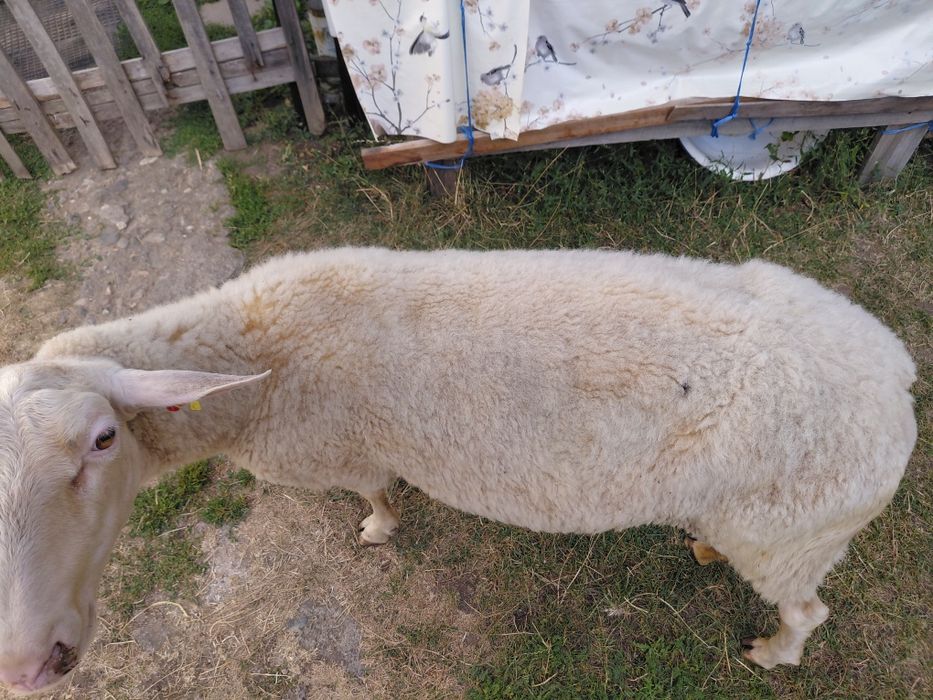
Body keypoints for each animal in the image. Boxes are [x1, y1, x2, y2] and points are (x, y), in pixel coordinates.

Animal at [0, 247, 917, 693]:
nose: (29, 665)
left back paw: (771, 652)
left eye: (102, 440)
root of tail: (898, 380)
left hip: (790, 535)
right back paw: (702, 548)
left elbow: (373, 492)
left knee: (808, 610)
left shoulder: (340, 450)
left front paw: (378, 527)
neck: (253, 361)